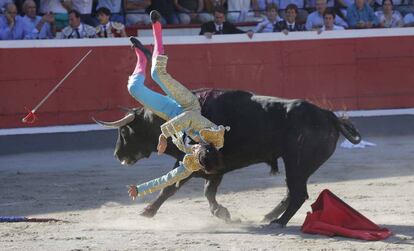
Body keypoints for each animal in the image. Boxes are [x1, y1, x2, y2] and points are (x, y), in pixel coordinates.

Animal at [95, 89, 360, 226]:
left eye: (125, 132)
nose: (117, 155)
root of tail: (330, 116)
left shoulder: (193, 162)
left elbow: (171, 188)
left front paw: (147, 211)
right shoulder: (214, 169)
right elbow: (207, 191)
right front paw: (222, 212)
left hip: (297, 163)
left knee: (298, 194)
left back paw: (277, 222)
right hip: (298, 167)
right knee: (291, 191)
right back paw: (269, 216)